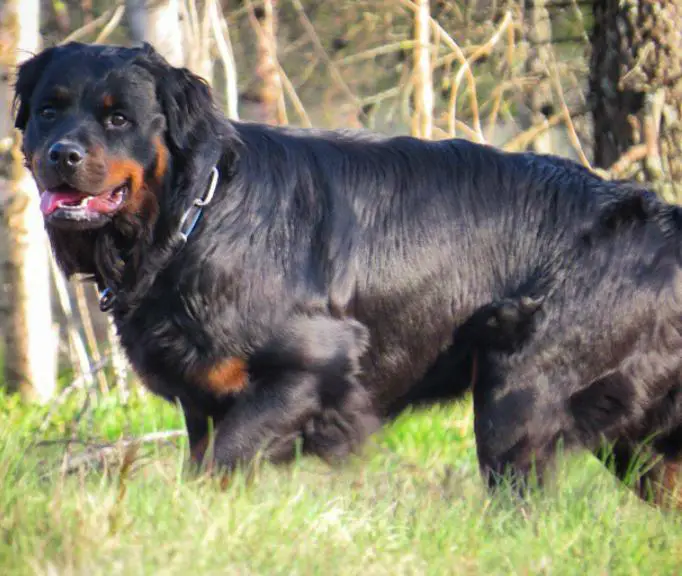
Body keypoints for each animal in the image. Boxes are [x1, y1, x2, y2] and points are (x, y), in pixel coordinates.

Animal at [13, 41, 680, 508]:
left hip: (520, 397)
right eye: (48, 111)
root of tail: (665, 227)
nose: (62, 154)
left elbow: (223, 462)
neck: (196, 217)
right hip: (636, 438)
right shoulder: (204, 398)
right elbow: (209, 466)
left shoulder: (311, 370)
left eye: (118, 119)